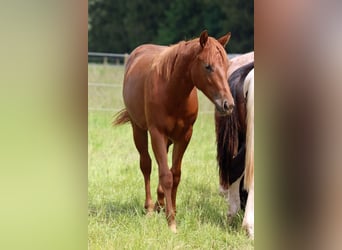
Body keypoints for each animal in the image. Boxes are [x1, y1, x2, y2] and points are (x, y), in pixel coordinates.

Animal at [113, 30, 234, 232]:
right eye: (208, 66)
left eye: (226, 66)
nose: (228, 105)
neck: (172, 90)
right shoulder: (157, 133)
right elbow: (166, 175)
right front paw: (171, 223)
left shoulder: (184, 136)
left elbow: (175, 174)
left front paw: (173, 211)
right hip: (139, 130)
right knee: (146, 165)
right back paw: (150, 208)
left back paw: (160, 203)